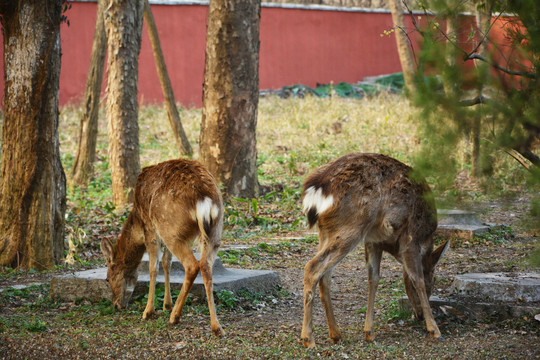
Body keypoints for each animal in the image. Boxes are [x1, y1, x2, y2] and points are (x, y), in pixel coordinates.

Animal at [100, 159, 225, 336]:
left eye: (108, 278)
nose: (116, 304)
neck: (137, 220)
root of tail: (204, 199)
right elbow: (167, 263)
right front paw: (167, 305)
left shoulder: (150, 230)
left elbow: (153, 268)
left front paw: (148, 312)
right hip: (215, 230)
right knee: (205, 265)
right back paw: (216, 326)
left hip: (171, 228)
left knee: (192, 265)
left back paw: (175, 317)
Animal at [302, 153, 450, 348]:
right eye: (433, 279)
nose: (417, 315)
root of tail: (318, 190)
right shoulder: (411, 237)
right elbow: (416, 278)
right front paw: (434, 330)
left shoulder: (373, 241)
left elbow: (373, 279)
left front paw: (369, 332)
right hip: (350, 226)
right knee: (312, 268)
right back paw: (308, 339)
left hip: (327, 232)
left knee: (324, 277)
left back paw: (336, 334)